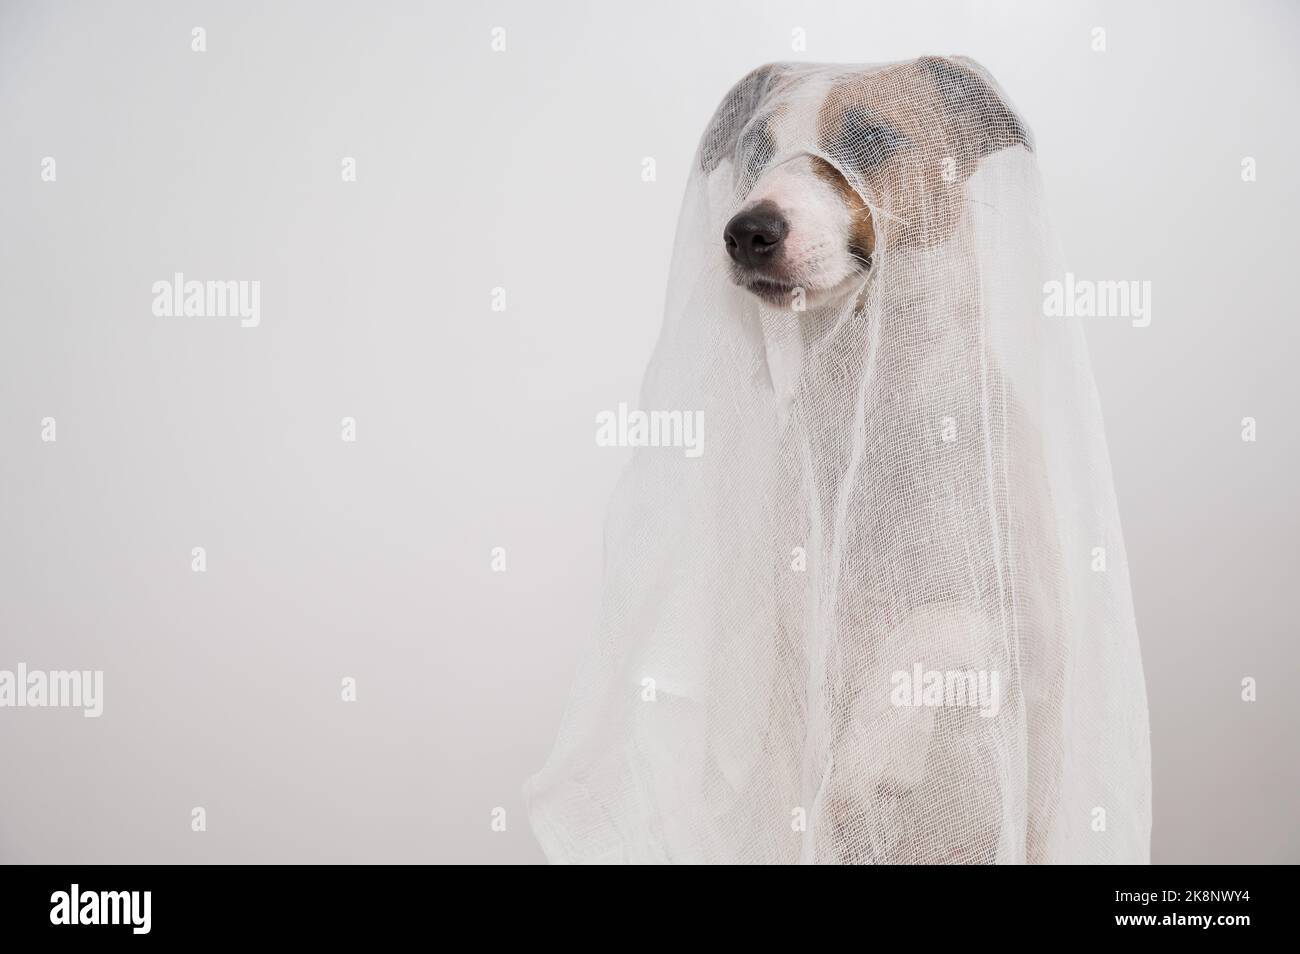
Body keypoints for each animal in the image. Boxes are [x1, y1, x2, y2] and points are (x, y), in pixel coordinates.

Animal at [702, 57, 1066, 868]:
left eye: (869, 138)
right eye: (755, 148)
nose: (747, 231)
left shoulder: (1015, 619)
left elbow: (935, 634)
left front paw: (868, 760)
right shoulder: (792, 621)